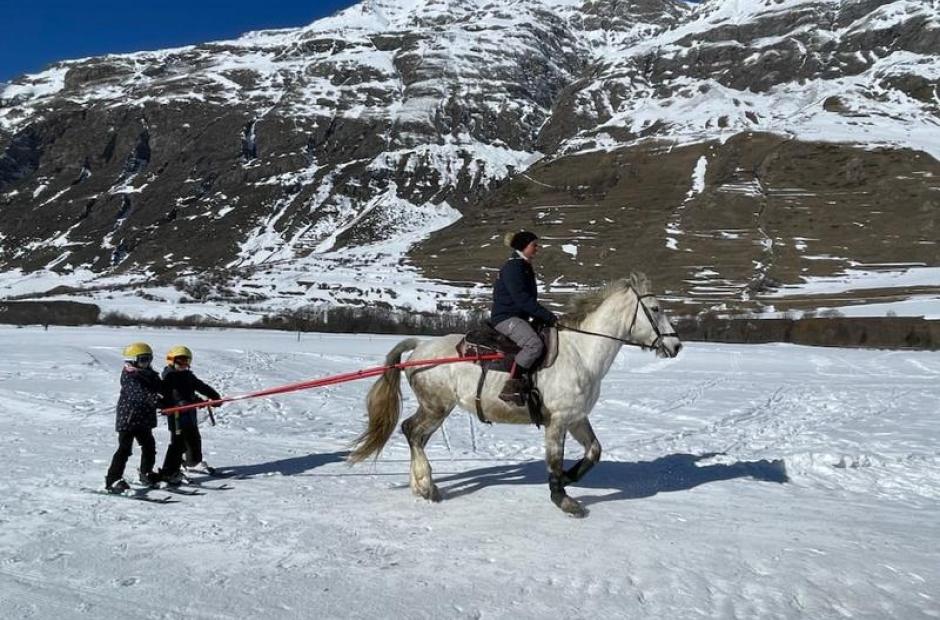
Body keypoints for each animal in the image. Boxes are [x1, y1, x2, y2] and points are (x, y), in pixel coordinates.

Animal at [348, 272, 682, 517]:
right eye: (655, 309)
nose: (676, 345)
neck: (580, 353)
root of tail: (419, 347)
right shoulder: (557, 421)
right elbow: (554, 460)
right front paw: (564, 499)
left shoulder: (576, 418)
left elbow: (594, 451)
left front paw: (569, 478)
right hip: (436, 406)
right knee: (411, 432)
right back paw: (426, 485)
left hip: (435, 409)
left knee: (415, 435)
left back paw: (420, 485)